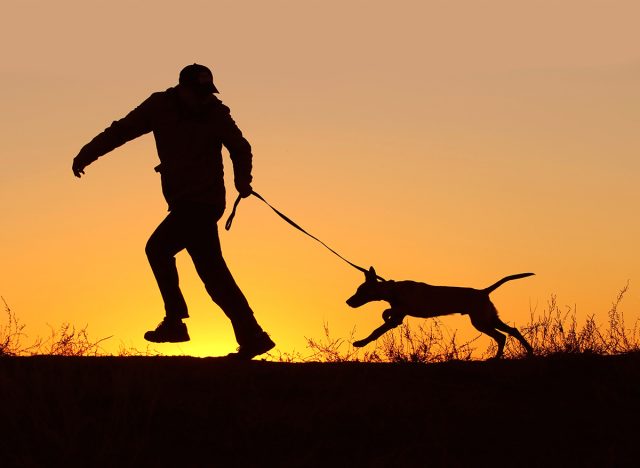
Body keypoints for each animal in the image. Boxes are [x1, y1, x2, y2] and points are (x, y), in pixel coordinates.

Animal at [344, 266, 536, 358]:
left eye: (360, 291)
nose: (348, 302)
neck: (394, 290)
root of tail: (483, 291)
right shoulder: (398, 314)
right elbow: (386, 312)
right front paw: (384, 314)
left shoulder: (397, 316)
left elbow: (376, 330)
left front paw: (360, 343)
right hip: (489, 318)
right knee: (512, 331)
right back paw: (529, 351)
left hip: (481, 321)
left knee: (501, 336)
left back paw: (497, 358)